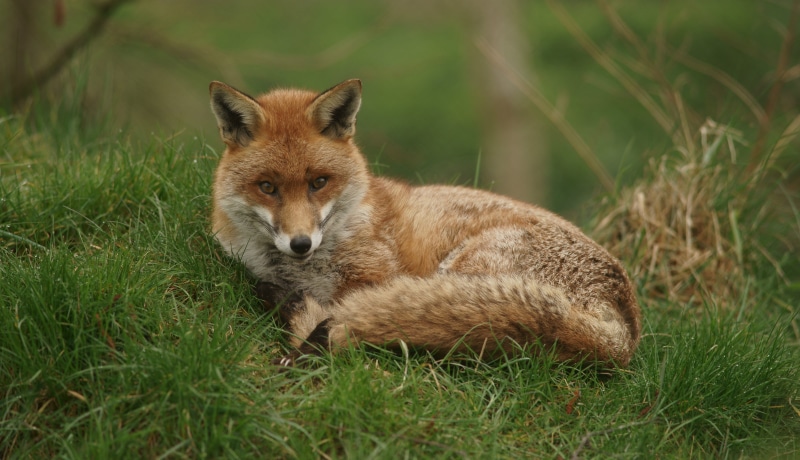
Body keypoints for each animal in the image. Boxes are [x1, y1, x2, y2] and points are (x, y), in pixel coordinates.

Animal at [208, 78, 642, 369]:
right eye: (267, 187)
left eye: (319, 182)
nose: (300, 243)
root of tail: (624, 333)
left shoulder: (373, 279)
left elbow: (342, 307)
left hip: (463, 272)